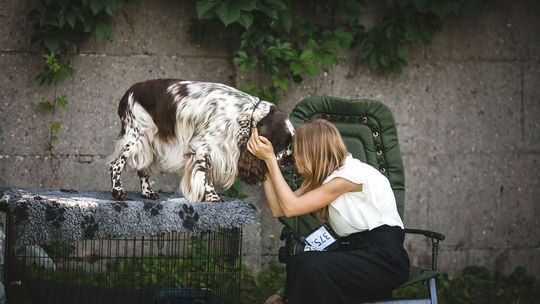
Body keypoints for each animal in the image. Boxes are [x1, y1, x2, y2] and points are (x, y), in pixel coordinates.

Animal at [108, 79, 294, 202]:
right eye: (281, 143)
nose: (290, 160)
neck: (246, 114)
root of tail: (128, 92)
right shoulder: (203, 147)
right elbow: (206, 174)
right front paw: (212, 197)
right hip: (137, 134)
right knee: (115, 164)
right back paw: (118, 191)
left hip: (148, 140)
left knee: (142, 168)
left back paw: (148, 192)